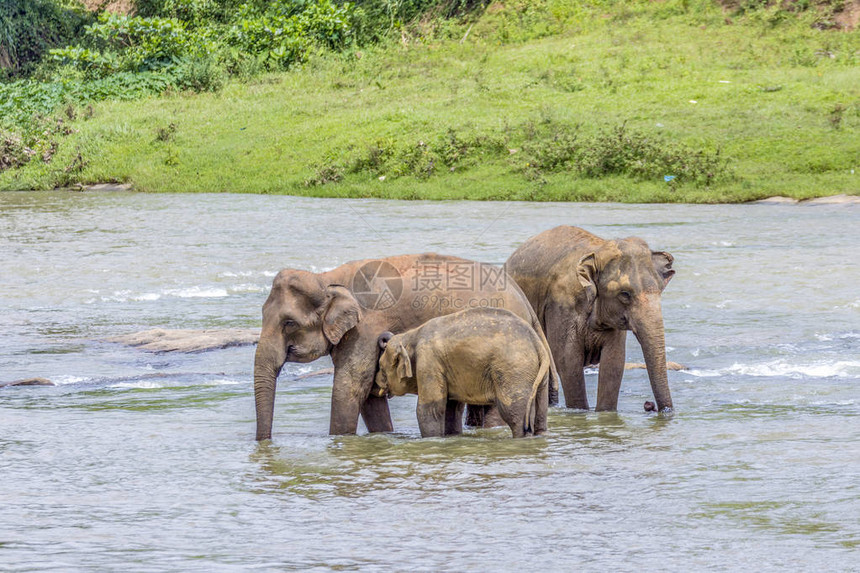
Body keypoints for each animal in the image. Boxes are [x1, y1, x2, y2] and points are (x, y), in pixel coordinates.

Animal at [372, 308, 548, 438]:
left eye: (380, 366)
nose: (375, 382)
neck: (410, 335)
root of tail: (536, 341)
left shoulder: (429, 363)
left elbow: (430, 409)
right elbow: (452, 409)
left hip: (513, 370)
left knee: (514, 415)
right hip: (538, 374)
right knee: (539, 414)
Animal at [504, 226, 680, 414]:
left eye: (660, 290)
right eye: (625, 294)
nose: (650, 406)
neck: (598, 250)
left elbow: (613, 363)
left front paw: (605, 414)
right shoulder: (561, 306)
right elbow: (568, 362)